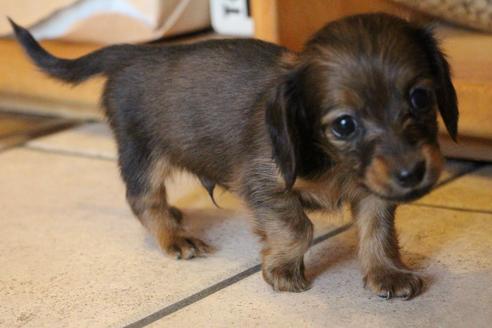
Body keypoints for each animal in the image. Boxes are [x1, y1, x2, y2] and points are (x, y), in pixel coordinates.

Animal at [9, 12, 460, 300]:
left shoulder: (373, 190)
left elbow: (377, 231)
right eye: (344, 125)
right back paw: (174, 235)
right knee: (143, 200)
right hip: (143, 153)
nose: (412, 173)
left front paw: (387, 273)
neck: (334, 161)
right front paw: (282, 270)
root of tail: (135, 53)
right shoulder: (264, 182)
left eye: (420, 97)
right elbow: (297, 228)